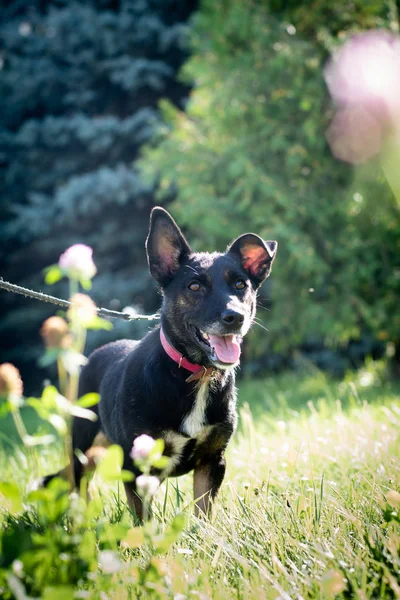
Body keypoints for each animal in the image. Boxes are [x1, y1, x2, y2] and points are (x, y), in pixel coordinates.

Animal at [48, 209, 276, 516]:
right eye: (194, 286)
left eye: (241, 284)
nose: (235, 317)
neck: (194, 374)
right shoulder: (136, 467)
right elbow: (144, 521)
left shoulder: (212, 460)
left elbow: (203, 513)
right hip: (80, 448)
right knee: (77, 485)